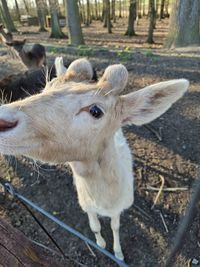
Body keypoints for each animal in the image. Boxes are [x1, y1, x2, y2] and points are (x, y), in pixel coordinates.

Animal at [0, 59, 189, 262]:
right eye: (47, 86)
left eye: (96, 111)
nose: (2, 120)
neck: (103, 202)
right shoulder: (86, 204)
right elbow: (95, 226)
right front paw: (101, 244)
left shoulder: (119, 207)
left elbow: (115, 226)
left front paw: (118, 253)